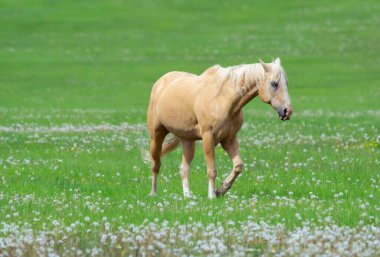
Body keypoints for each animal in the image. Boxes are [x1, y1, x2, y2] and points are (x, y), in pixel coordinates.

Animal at [147, 58, 292, 198]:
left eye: (286, 83)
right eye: (274, 83)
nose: (287, 111)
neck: (222, 99)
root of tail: (159, 83)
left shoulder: (229, 139)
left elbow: (238, 166)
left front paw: (220, 190)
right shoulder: (208, 138)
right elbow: (212, 170)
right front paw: (212, 195)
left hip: (187, 140)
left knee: (184, 168)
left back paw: (187, 196)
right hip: (156, 136)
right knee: (155, 165)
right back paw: (153, 193)